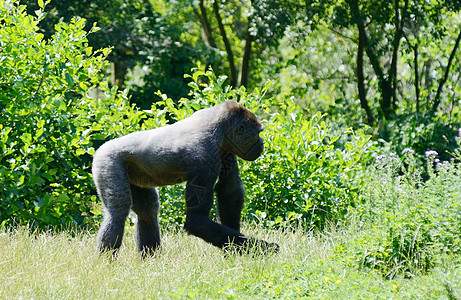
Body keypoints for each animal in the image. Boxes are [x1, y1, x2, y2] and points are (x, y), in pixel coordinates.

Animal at [90, 101, 276, 258]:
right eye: (258, 134)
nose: (262, 143)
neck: (218, 125)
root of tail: (101, 148)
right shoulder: (204, 158)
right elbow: (197, 219)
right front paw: (261, 247)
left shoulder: (226, 148)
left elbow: (229, 191)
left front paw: (235, 249)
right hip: (107, 160)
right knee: (118, 212)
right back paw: (106, 263)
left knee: (147, 211)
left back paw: (150, 261)